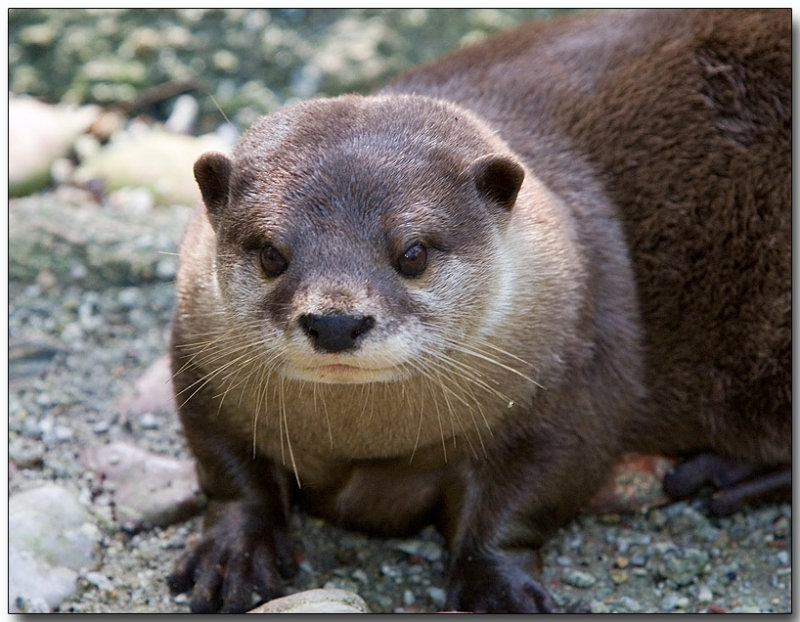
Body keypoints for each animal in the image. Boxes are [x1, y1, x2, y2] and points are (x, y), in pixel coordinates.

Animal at [166, 8, 792, 616]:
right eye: (272, 254)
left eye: (413, 253)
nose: (336, 322)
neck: (367, 444)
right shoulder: (200, 367)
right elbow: (228, 469)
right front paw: (235, 550)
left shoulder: (572, 388)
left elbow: (526, 495)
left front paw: (496, 587)